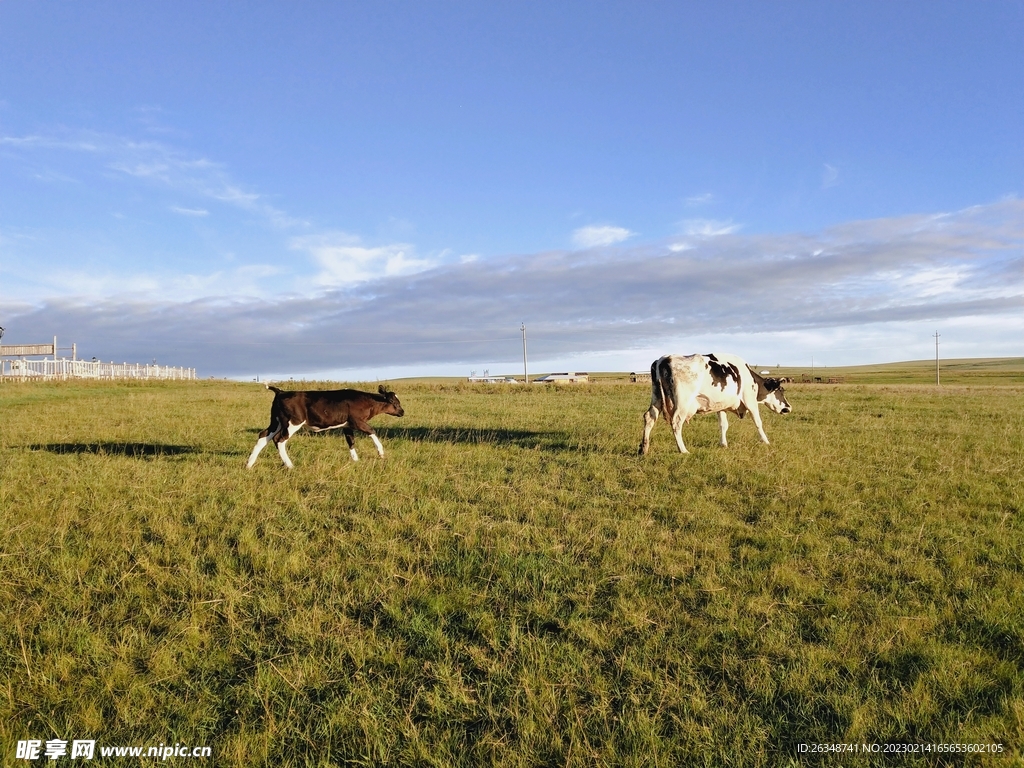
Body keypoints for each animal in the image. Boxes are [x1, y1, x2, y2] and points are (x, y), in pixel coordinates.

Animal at [246, 385, 403, 468]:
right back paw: (290, 465)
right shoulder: (357, 421)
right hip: (293, 422)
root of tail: (281, 391)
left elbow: (351, 441)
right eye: (395, 403)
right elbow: (372, 431)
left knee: (263, 436)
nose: (402, 412)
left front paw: (356, 460)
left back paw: (249, 464)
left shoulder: (347, 425)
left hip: (276, 421)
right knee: (279, 440)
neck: (366, 402)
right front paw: (381, 453)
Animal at [638, 354, 790, 456]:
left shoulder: (721, 406)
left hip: (657, 397)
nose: (789, 407)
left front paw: (723, 444)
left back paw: (643, 449)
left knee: (649, 417)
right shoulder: (750, 400)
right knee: (676, 423)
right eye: (781, 390)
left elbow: (723, 425)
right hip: (683, 403)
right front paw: (766, 441)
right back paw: (683, 450)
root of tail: (664, 359)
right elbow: (758, 422)